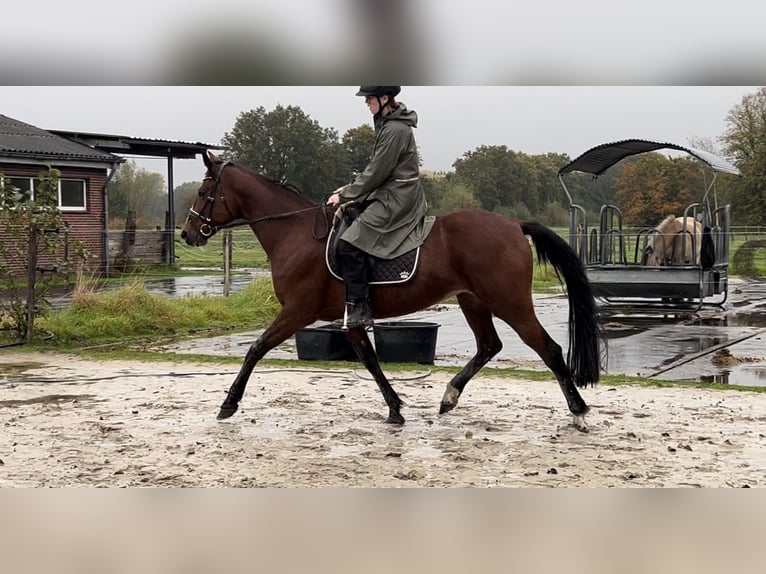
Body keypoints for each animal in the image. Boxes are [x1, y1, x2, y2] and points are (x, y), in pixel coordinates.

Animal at [180, 153, 608, 432]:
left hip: (509, 302)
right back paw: (449, 397)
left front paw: (229, 404)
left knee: (548, 349)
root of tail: (513, 225)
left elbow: (256, 349)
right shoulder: (351, 317)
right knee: (489, 345)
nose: (187, 233)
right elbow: (369, 360)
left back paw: (578, 412)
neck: (296, 233)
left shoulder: (297, 311)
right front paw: (396, 408)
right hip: (473, 300)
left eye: (203, 191)